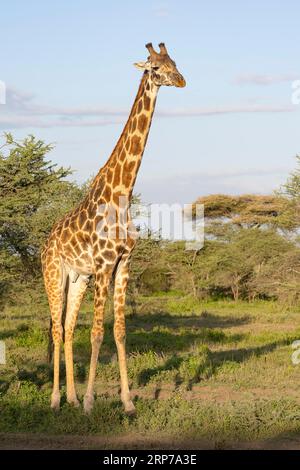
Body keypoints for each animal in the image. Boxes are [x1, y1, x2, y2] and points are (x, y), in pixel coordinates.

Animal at [42, 42, 185, 414]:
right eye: (154, 68)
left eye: (174, 63)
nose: (181, 81)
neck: (123, 192)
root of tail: (46, 242)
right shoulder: (104, 265)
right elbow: (97, 333)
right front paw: (92, 403)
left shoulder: (123, 265)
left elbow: (119, 331)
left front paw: (128, 402)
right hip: (53, 274)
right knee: (56, 329)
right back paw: (55, 400)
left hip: (78, 278)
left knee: (68, 328)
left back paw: (71, 397)